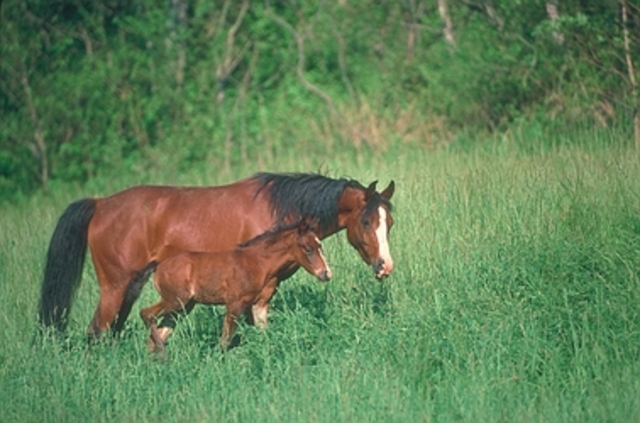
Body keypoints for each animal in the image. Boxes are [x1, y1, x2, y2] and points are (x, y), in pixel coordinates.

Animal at [138, 218, 331, 352]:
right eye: (307, 249)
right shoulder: (235, 304)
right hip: (176, 301)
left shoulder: (260, 304)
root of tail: (159, 267)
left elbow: (263, 333)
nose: (326, 274)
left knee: (156, 335)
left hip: (182, 308)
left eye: (321, 246)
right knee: (146, 314)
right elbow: (225, 341)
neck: (258, 263)